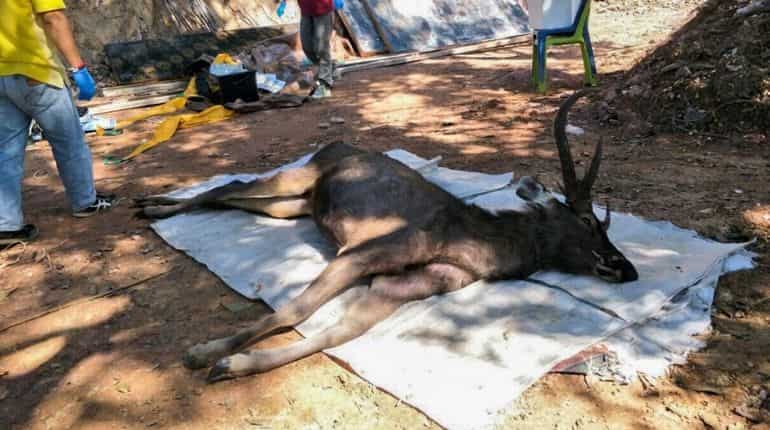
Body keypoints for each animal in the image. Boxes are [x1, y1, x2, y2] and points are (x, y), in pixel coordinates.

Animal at [136, 90, 639, 382]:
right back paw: (150, 205)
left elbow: (335, 335)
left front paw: (232, 365)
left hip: (300, 204)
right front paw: (203, 352)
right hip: (301, 172)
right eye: (590, 222)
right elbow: (294, 310)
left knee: (240, 199)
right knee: (231, 184)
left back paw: (154, 206)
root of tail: (334, 145)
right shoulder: (359, 254)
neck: (467, 244)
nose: (626, 268)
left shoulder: (400, 286)